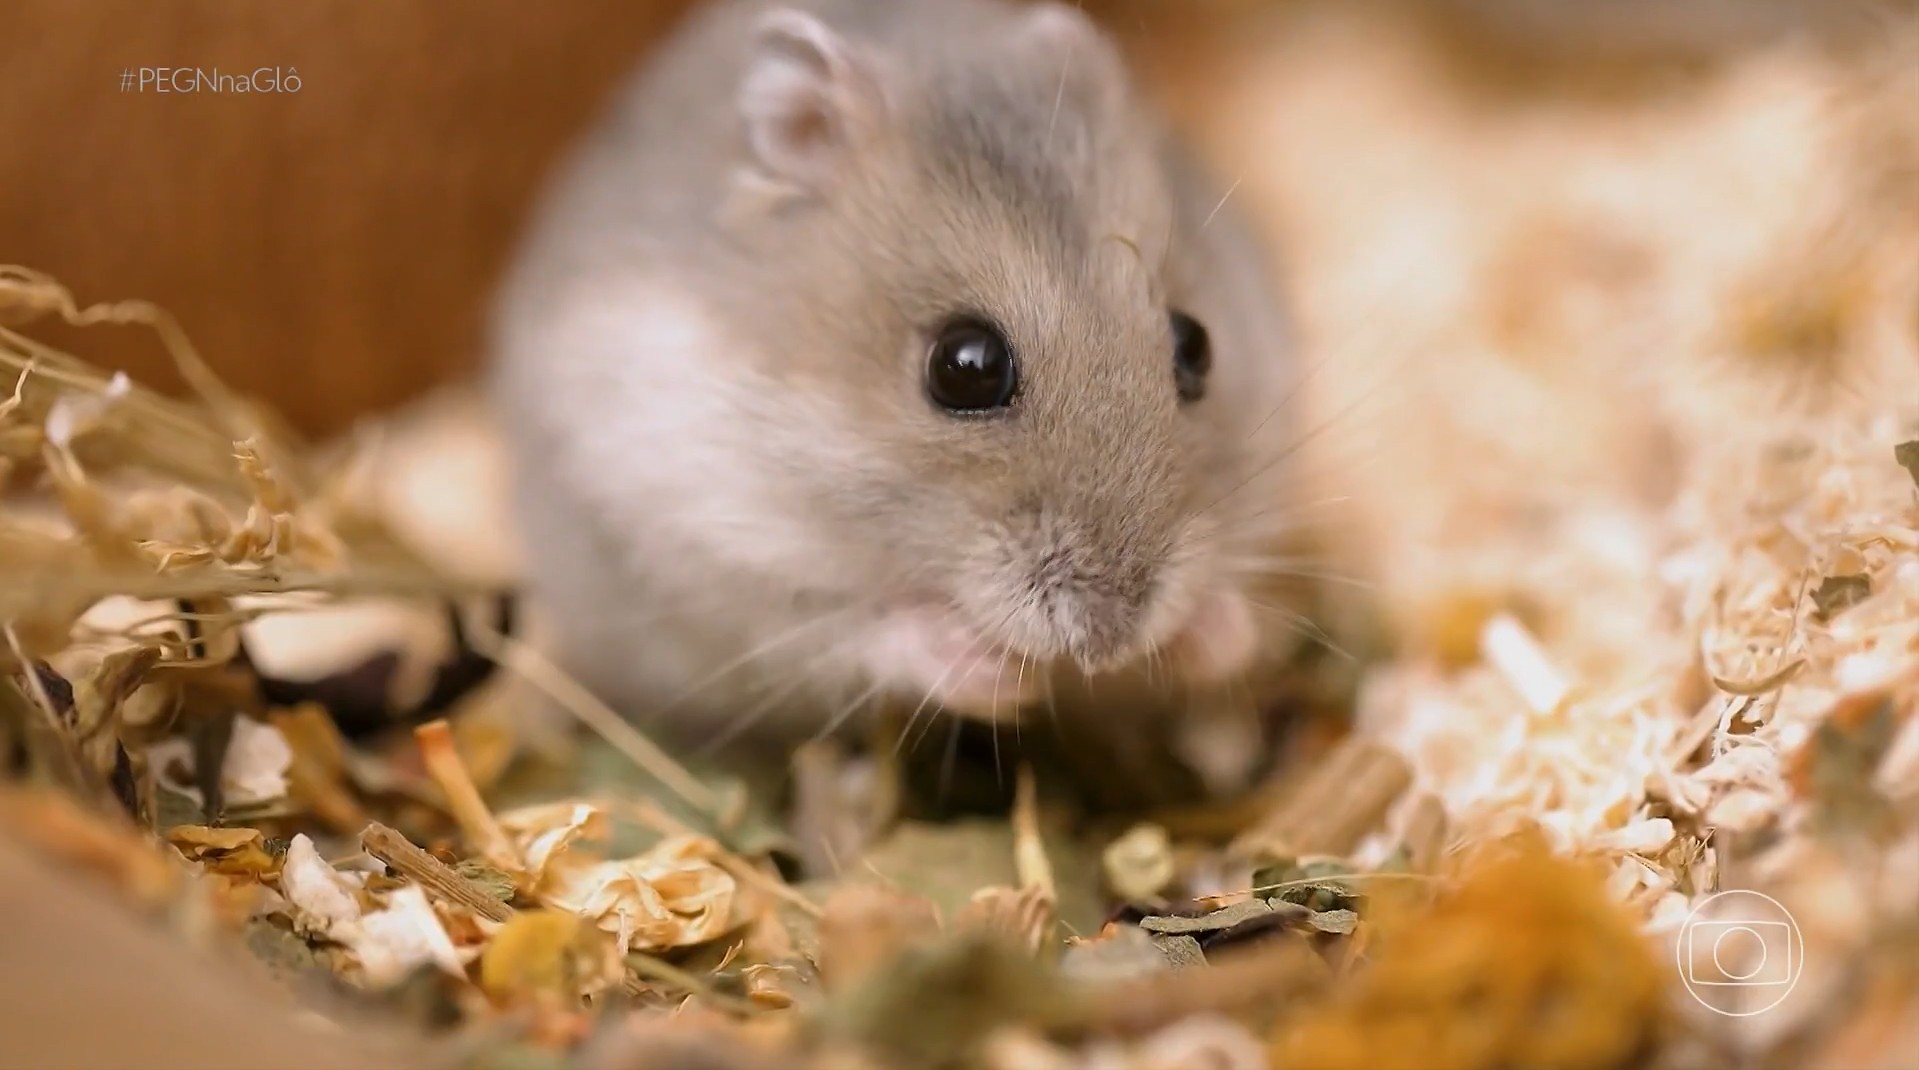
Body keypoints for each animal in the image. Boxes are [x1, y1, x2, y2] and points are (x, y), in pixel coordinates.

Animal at [488, 0, 1309, 762]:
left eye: (1195, 344)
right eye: (964, 366)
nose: (1112, 639)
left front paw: (1214, 634)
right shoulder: (710, 558)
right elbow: (862, 627)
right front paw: (1008, 686)